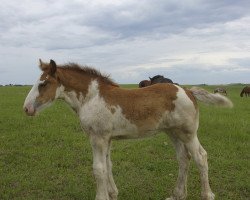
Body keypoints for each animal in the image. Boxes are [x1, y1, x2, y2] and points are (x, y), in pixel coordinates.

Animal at [23, 59, 232, 200]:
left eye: (43, 83)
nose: (26, 108)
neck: (92, 98)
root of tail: (188, 91)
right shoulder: (106, 139)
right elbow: (108, 166)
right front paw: (112, 193)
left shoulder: (98, 138)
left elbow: (98, 169)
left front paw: (102, 196)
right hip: (173, 133)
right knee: (183, 158)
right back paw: (177, 195)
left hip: (188, 133)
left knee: (200, 157)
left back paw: (207, 195)